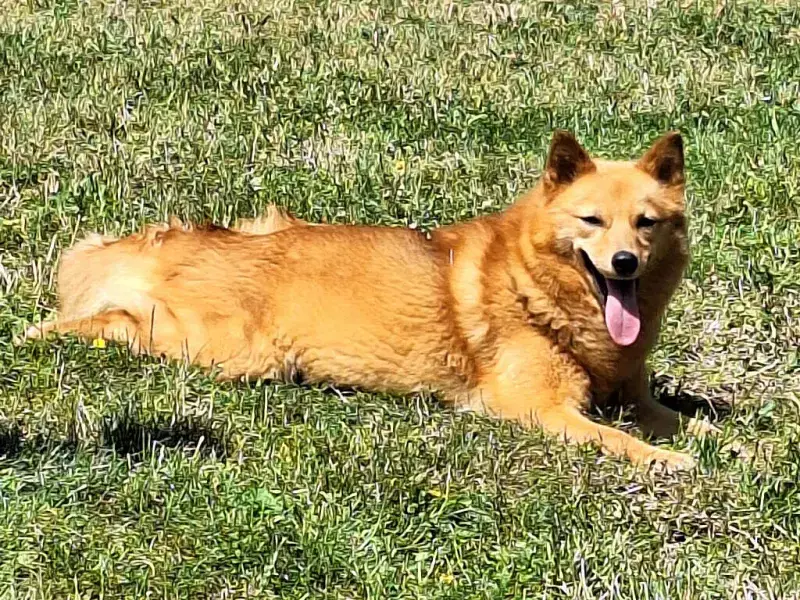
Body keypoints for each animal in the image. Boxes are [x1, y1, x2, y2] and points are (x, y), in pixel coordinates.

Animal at [21, 130, 717, 471]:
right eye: (592, 221)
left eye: (646, 223)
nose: (624, 262)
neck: (538, 292)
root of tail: (179, 241)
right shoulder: (539, 409)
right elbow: (621, 441)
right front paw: (668, 461)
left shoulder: (636, 399)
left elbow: (696, 422)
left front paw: (731, 445)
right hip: (230, 352)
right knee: (110, 320)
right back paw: (45, 332)